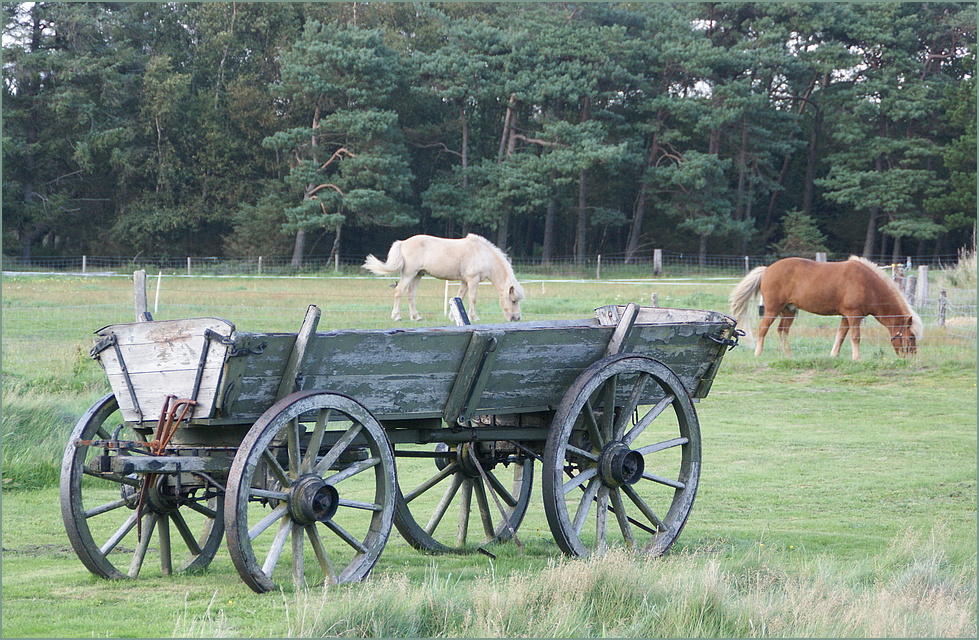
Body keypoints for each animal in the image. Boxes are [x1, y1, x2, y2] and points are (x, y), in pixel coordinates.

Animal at [362, 234, 528, 322]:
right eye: (513, 301)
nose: (517, 318)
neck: (483, 255)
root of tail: (403, 242)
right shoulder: (472, 280)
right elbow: (472, 298)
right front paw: (474, 317)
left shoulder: (464, 281)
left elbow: (460, 296)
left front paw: (453, 317)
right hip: (409, 274)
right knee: (399, 291)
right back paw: (396, 317)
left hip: (417, 275)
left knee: (411, 294)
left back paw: (416, 317)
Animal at [732, 256, 924, 360]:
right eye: (911, 337)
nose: (912, 357)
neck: (868, 285)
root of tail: (767, 270)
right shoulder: (854, 315)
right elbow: (855, 337)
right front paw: (857, 358)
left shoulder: (846, 316)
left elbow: (841, 335)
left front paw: (834, 355)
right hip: (772, 309)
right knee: (763, 328)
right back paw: (758, 353)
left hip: (789, 310)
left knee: (783, 331)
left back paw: (789, 355)